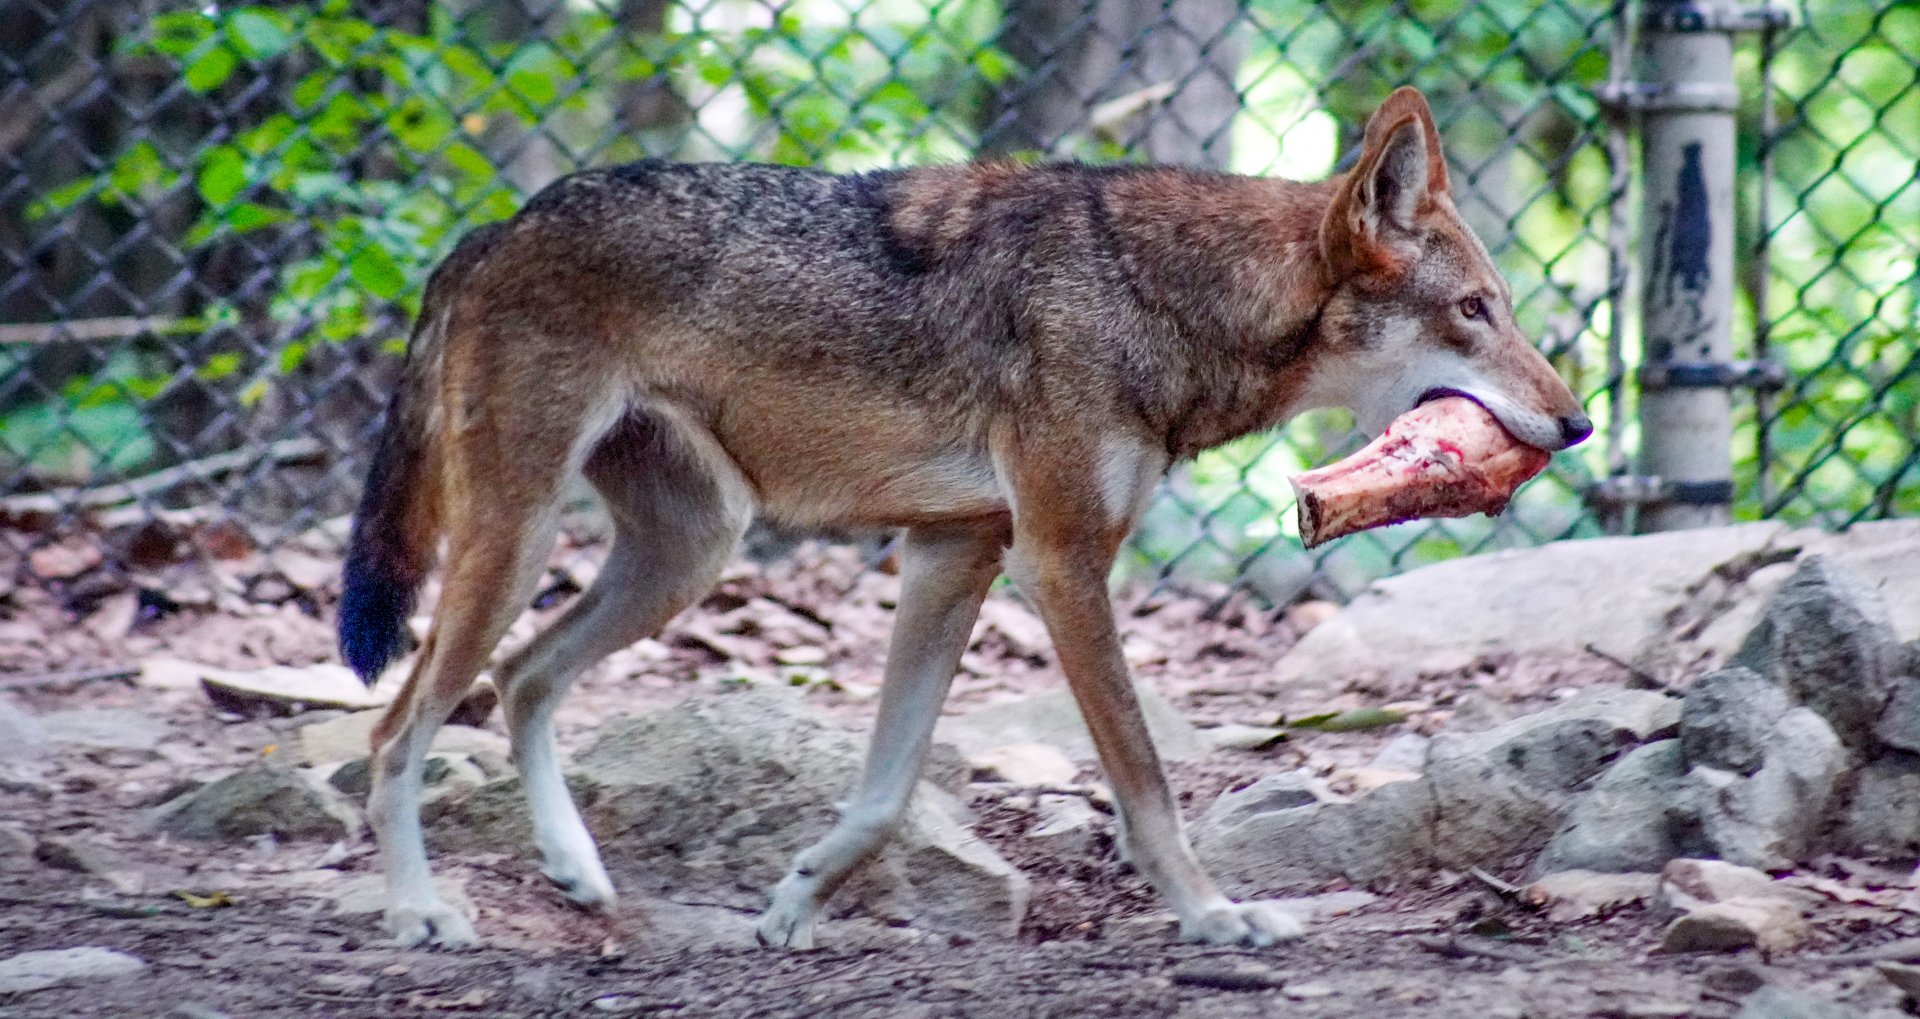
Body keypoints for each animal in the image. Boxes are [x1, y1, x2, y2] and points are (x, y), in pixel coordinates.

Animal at [337, 86, 1590, 949]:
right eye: (1474, 311)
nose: (1578, 422)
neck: (1159, 292)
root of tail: (492, 228)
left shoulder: (953, 553)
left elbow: (888, 790)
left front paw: (795, 901)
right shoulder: (1060, 562)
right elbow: (1147, 783)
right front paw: (1213, 914)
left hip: (683, 558)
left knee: (521, 677)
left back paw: (578, 871)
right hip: (521, 545)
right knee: (397, 730)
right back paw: (420, 913)